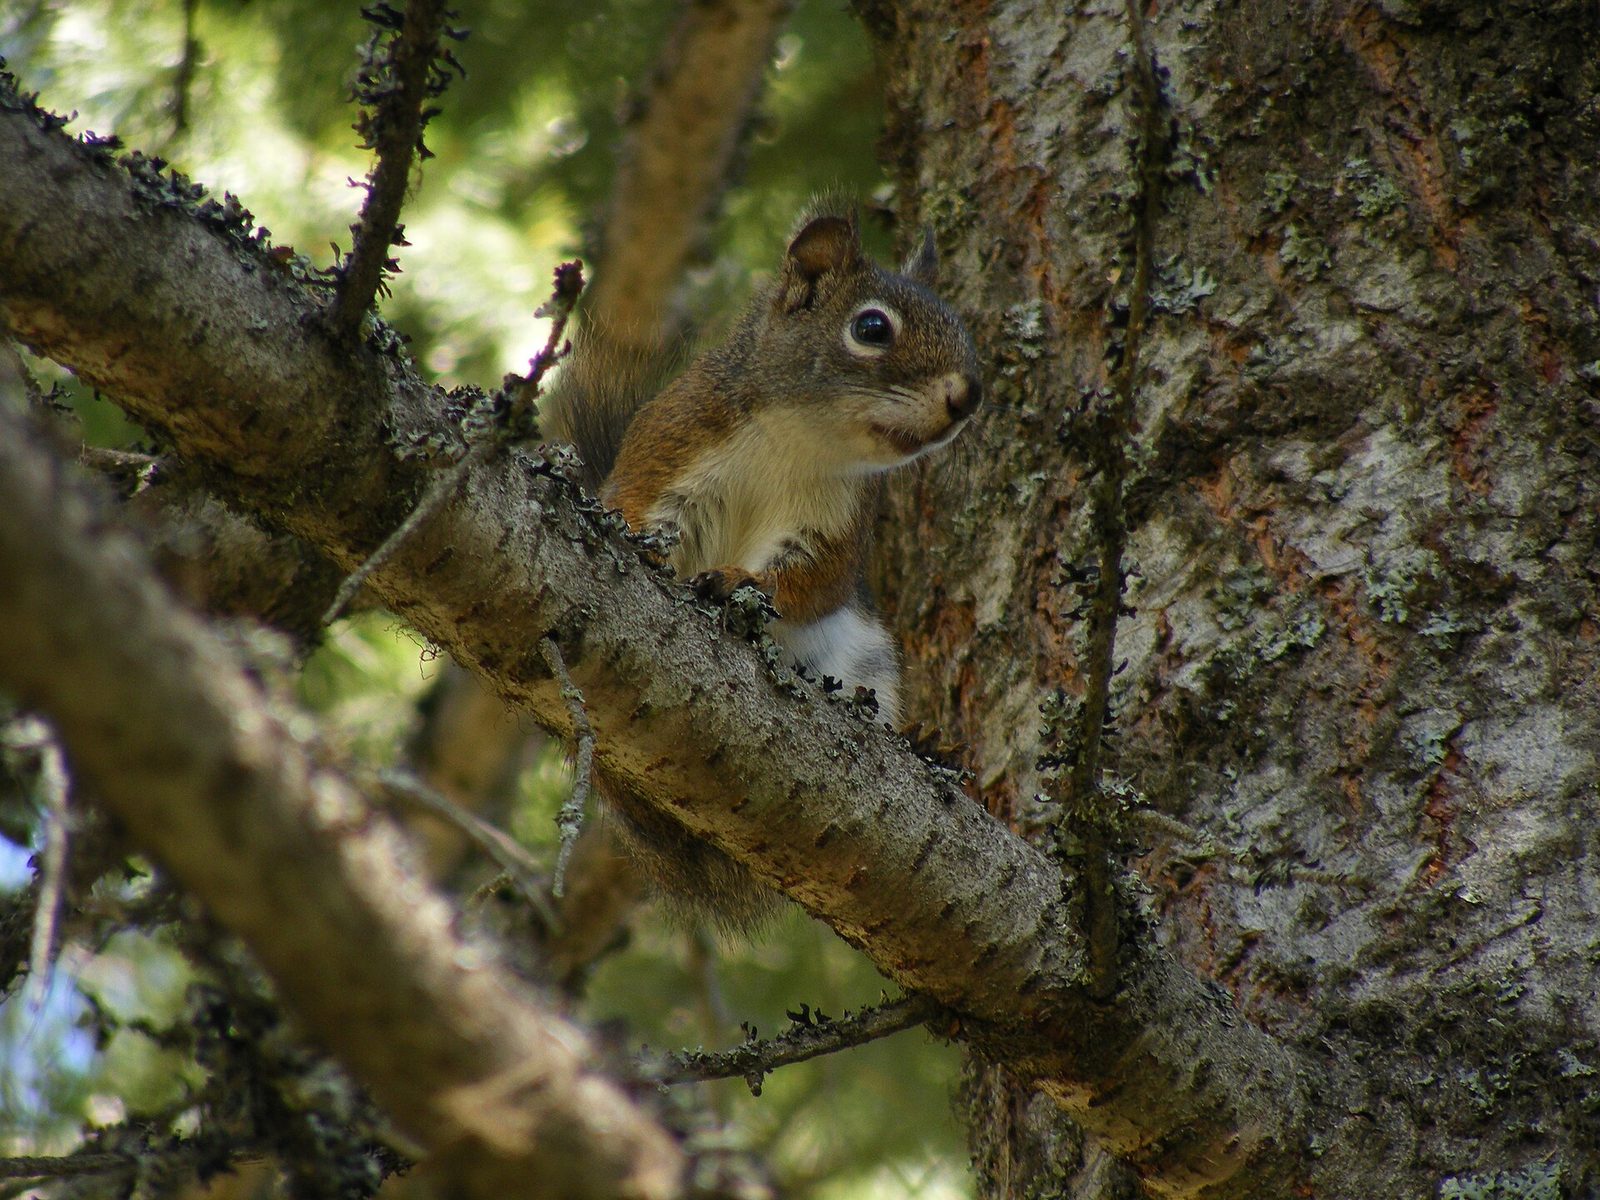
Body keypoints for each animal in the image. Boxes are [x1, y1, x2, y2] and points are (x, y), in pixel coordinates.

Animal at [542, 199, 980, 929]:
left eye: (960, 326)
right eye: (871, 327)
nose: (967, 397)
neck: (799, 437)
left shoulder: (836, 522)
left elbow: (810, 584)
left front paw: (740, 584)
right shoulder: (674, 444)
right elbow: (640, 517)